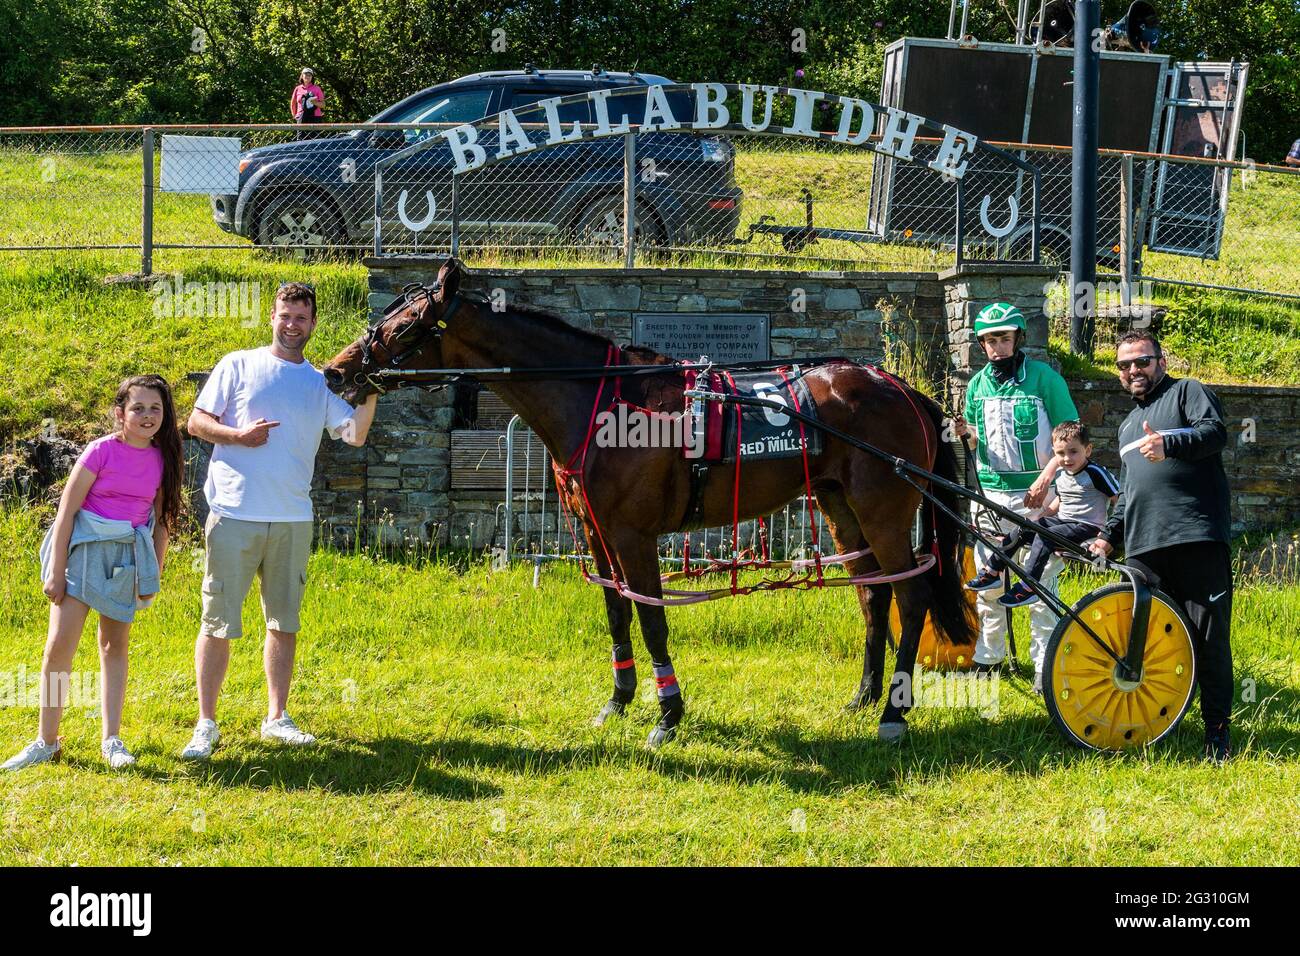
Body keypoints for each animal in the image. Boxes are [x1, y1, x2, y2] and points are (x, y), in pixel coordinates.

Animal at [325, 260, 977, 749]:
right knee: (874, 595)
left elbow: (651, 619)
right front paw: (618, 701)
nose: (336, 370)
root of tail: (904, 389)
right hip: (843, 509)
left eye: (404, 327)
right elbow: (617, 613)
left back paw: (893, 711)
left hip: (885, 512)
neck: (603, 400)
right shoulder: (596, 533)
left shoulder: (634, 535)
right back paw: (863, 696)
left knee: (912, 593)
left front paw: (668, 714)